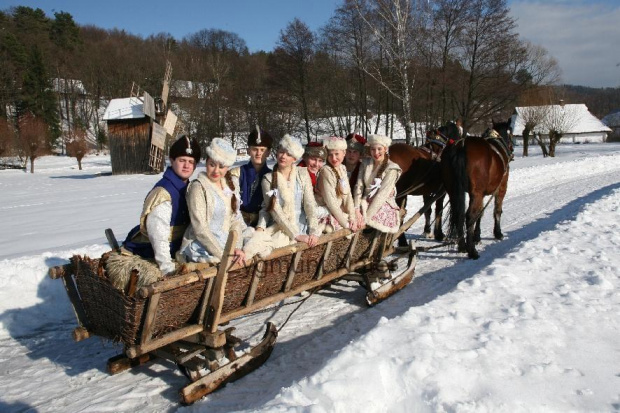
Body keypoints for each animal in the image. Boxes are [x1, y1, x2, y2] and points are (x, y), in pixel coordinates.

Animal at [440, 118, 512, 258]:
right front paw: (498, 233)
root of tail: (461, 145)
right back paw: (471, 250)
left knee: (459, 215)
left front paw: (477, 236)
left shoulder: (481, 194)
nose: (511, 150)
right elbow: (497, 210)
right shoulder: (501, 187)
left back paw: (462, 246)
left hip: (454, 191)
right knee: (469, 216)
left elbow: (480, 213)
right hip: (477, 192)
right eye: (510, 134)